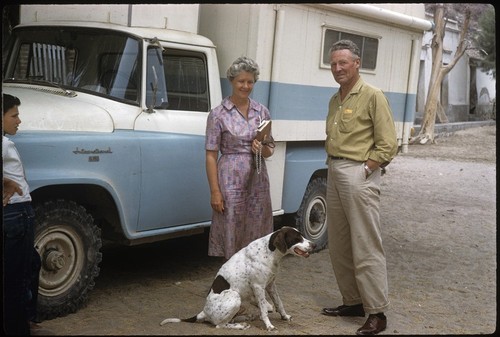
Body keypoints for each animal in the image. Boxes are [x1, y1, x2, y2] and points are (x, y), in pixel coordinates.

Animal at [160, 224, 314, 330]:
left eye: (302, 236)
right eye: (297, 238)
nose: (314, 245)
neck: (269, 252)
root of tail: (204, 312)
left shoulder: (270, 285)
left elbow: (278, 303)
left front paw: (284, 316)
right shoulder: (259, 287)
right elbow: (264, 310)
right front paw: (269, 325)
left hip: (242, 301)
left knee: (231, 319)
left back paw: (246, 317)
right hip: (235, 296)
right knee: (220, 325)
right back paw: (241, 326)